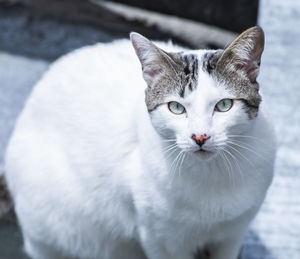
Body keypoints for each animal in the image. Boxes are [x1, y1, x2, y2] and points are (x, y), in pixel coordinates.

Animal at [5, 26, 276, 259]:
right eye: (176, 107)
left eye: (224, 105)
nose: (200, 136)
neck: (212, 174)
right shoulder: (160, 239)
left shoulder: (233, 234)